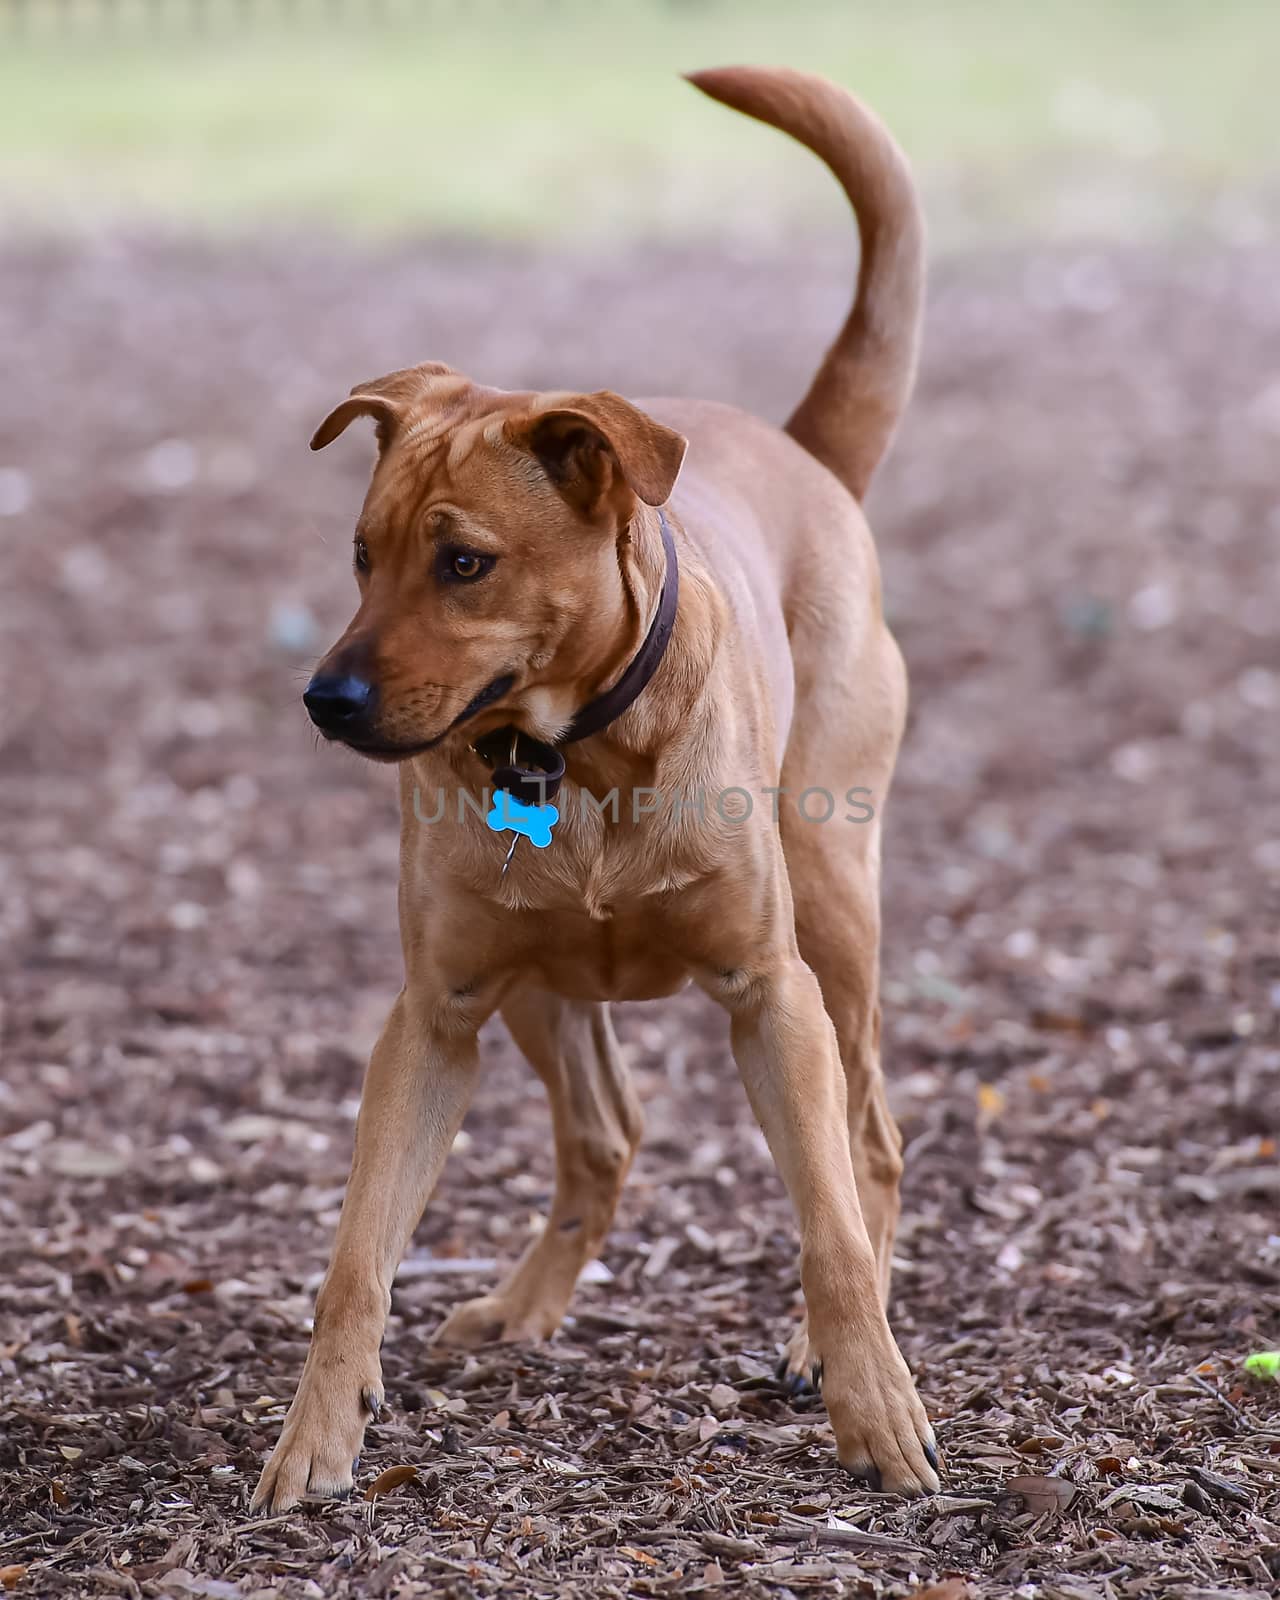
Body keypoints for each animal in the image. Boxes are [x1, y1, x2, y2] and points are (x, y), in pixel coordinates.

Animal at [254, 62, 940, 1510]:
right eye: (360, 555)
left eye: (463, 561)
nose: (325, 699)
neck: (569, 756)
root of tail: (803, 455)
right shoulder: (435, 1016)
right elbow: (355, 1256)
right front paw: (317, 1430)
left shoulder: (770, 992)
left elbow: (828, 1225)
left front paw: (870, 1405)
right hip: (540, 985)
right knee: (604, 1135)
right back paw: (525, 1304)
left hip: (835, 905)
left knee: (869, 1143)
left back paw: (821, 1343)